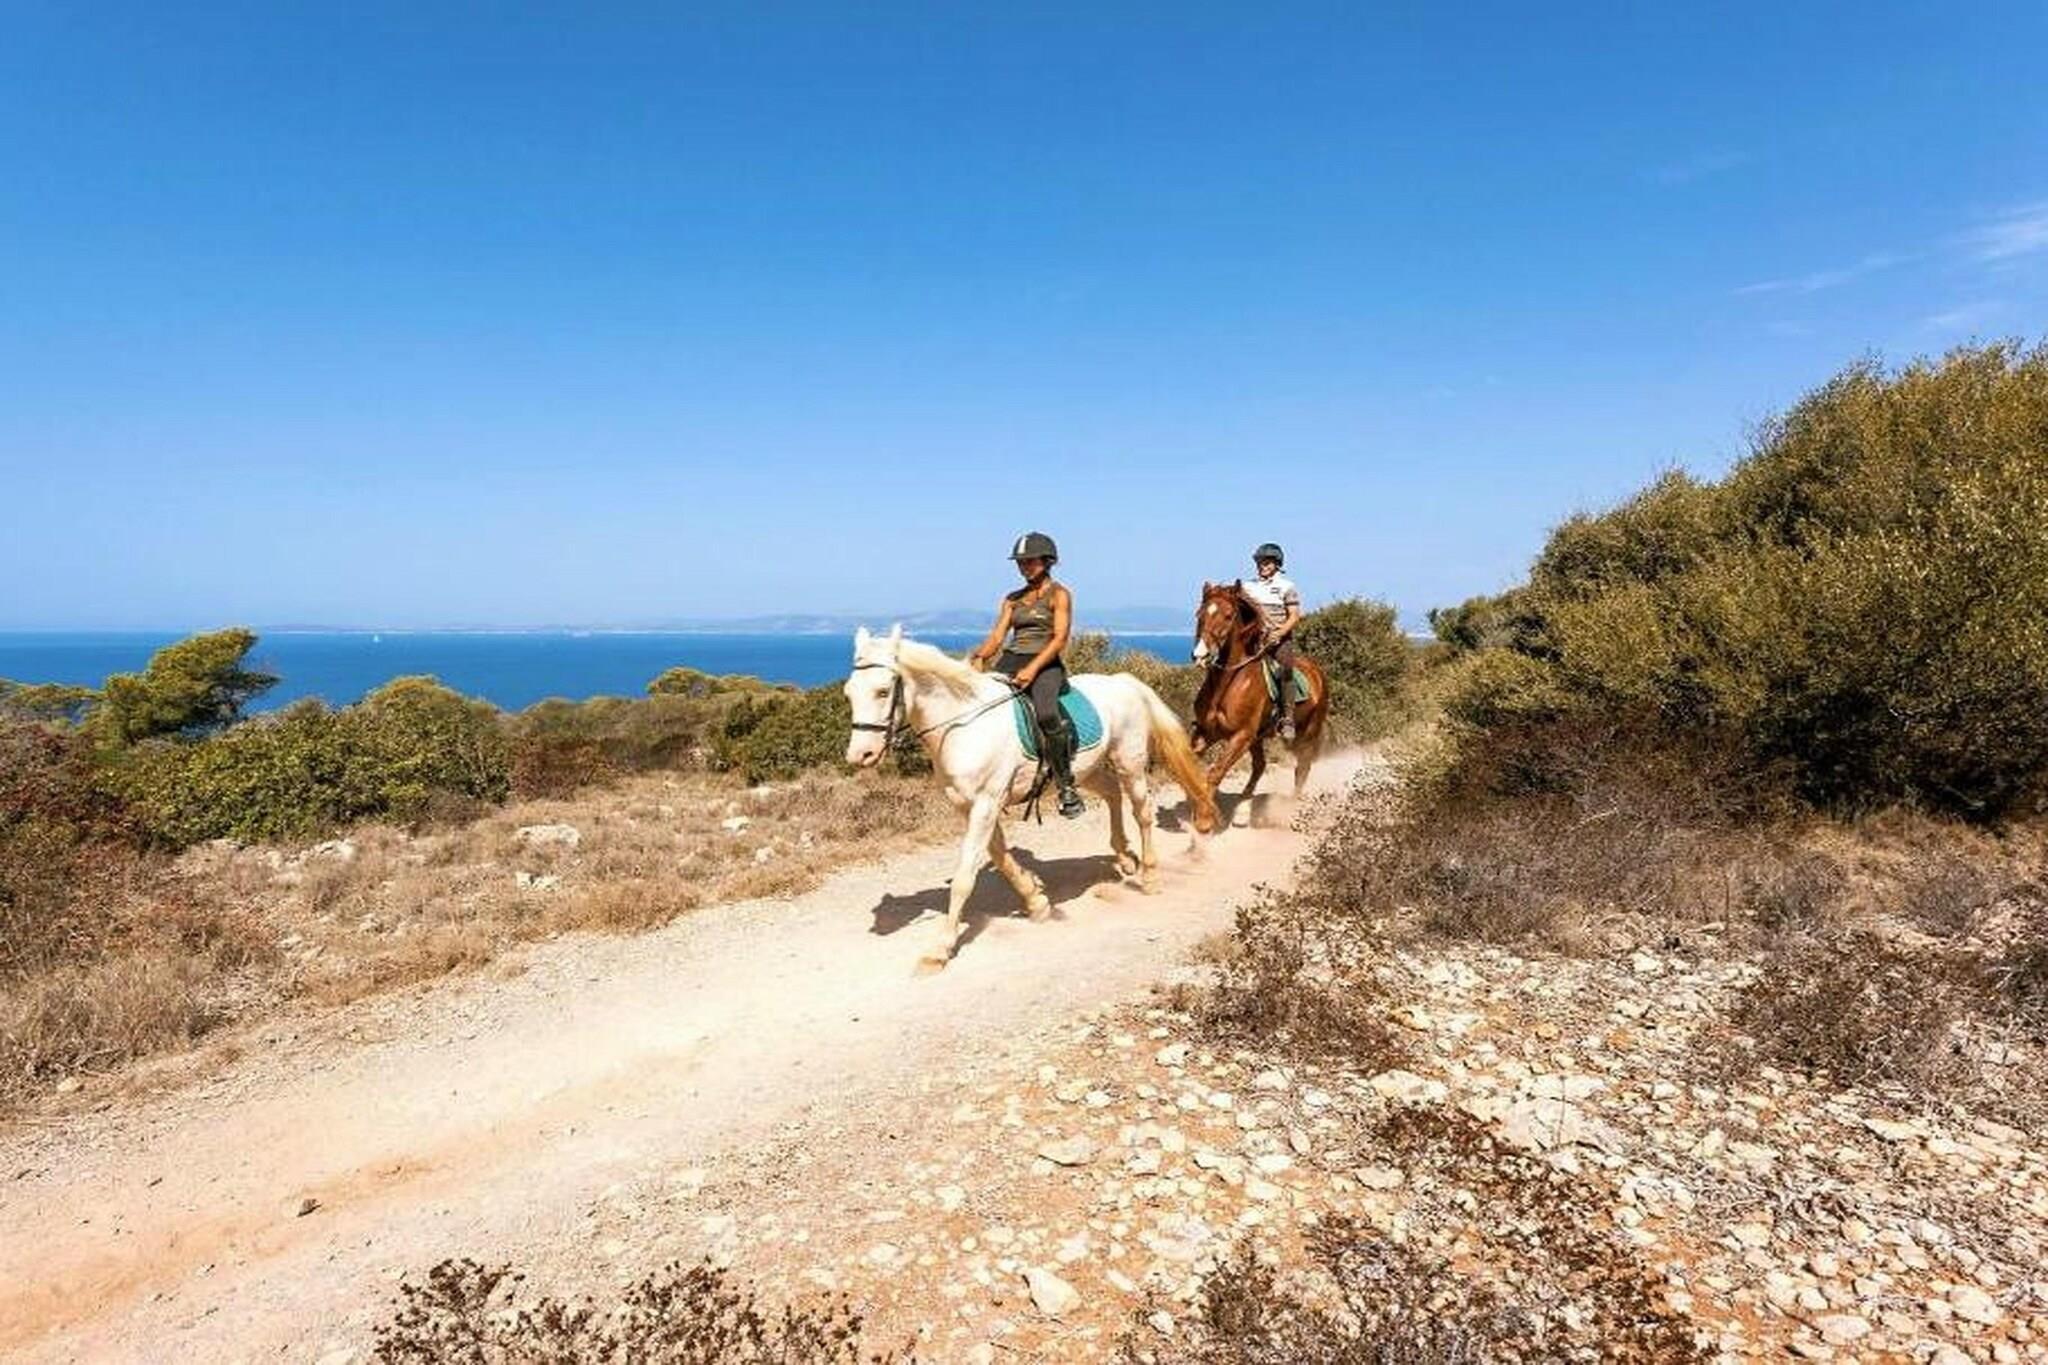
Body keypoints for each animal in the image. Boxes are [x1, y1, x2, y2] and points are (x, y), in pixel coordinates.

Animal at [843, 626, 1221, 973]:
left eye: (882, 691)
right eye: (849, 693)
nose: (860, 755)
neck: (963, 725)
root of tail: (1124, 681)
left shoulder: (985, 803)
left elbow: (965, 876)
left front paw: (940, 949)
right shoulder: (970, 806)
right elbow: (1000, 856)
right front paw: (1036, 899)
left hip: (1130, 761)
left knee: (1142, 811)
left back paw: (1149, 877)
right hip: (1085, 769)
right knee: (1112, 794)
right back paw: (1124, 857)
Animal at [1188, 581, 1331, 806]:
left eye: (1228, 615)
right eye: (1200, 614)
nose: (1200, 655)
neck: (1227, 684)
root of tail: (1316, 671)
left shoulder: (1241, 736)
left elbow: (1215, 774)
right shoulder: (1206, 731)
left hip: (1308, 732)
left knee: (1302, 767)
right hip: (1258, 738)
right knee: (1261, 765)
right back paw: (1245, 800)